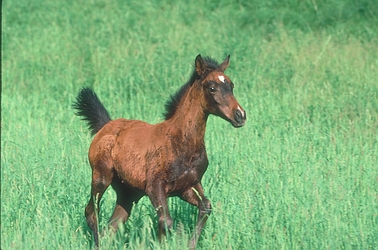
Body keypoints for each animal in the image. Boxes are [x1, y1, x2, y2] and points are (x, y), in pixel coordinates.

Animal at [72, 54, 247, 248]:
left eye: (231, 85)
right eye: (212, 88)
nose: (240, 115)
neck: (182, 143)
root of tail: (104, 126)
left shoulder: (189, 186)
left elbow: (205, 207)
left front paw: (190, 245)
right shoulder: (155, 187)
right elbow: (166, 221)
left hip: (128, 193)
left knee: (112, 225)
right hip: (101, 177)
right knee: (91, 212)